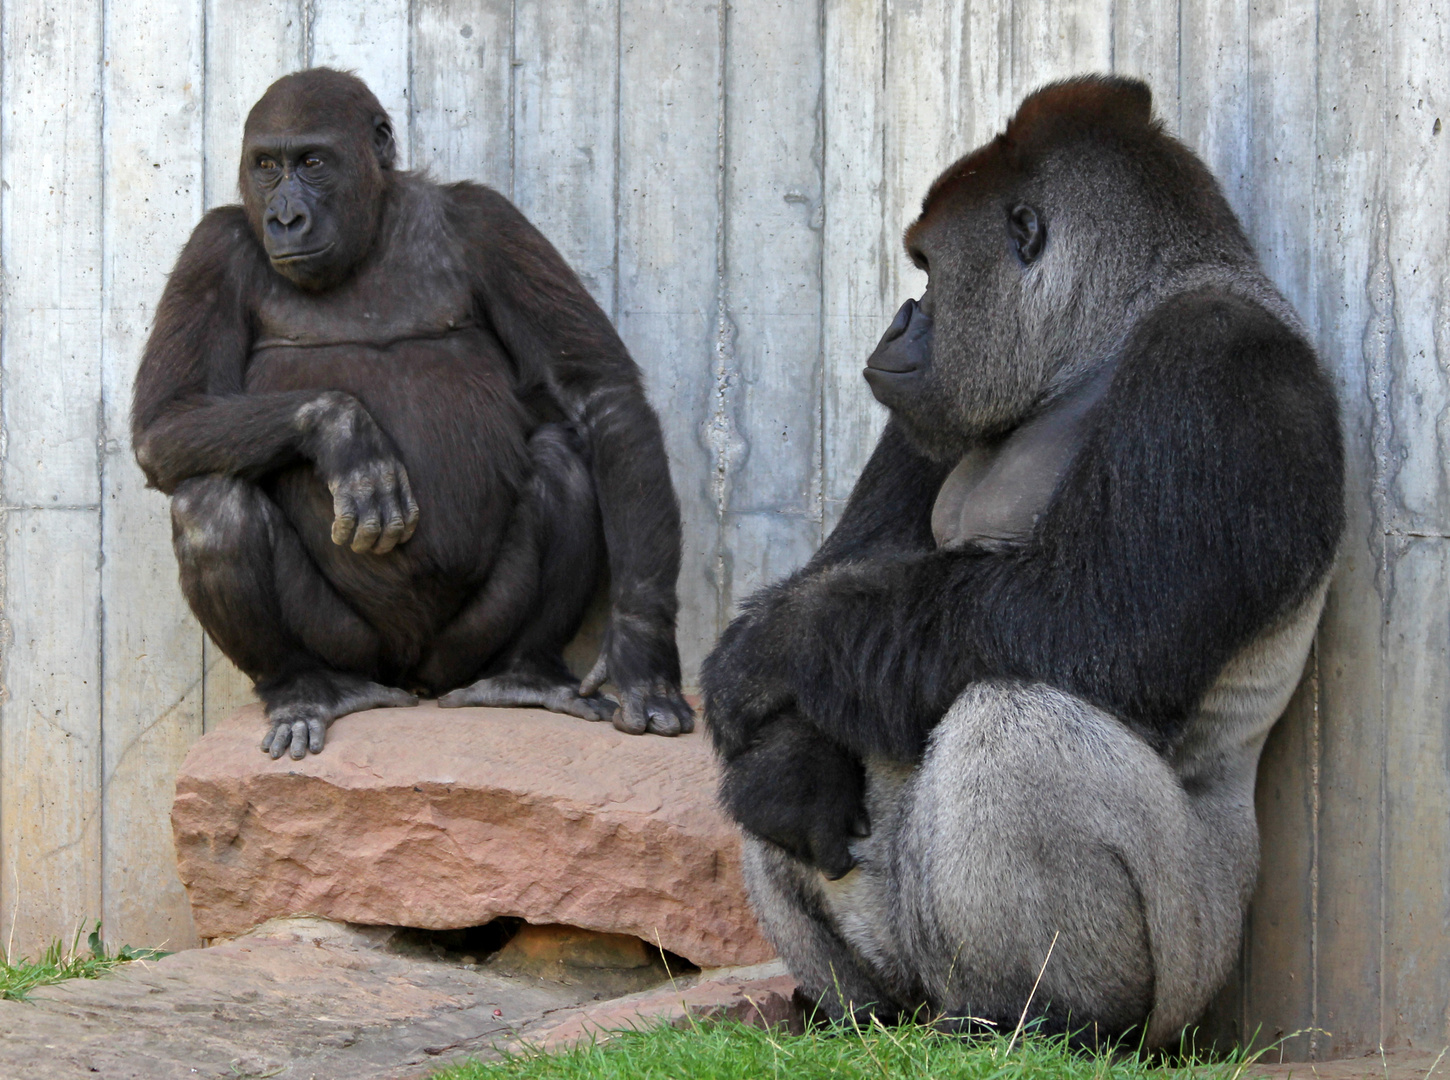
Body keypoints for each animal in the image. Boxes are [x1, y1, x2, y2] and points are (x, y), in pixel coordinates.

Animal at [130, 69, 690, 759]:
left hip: (463, 650)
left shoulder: (489, 221)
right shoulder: (213, 248)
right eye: (265, 166)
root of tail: (412, 677)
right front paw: (344, 432)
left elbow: (599, 390)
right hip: (356, 649)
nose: (285, 217)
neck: (371, 231)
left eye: (312, 162)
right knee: (209, 501)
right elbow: (163, 422)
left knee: (563, 461)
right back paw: (304, 687)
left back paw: (524, 673)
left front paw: (642, 651)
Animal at [701, 77, 1345, 1043]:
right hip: (903, 971)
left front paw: (771, 644)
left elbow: (1092, 622)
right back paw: (843, 1007)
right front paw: (781, 760)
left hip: (1199, 958)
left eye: (928, 269)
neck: (1108, 331)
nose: (898, 320)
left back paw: (1047, 1017)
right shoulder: (929, 413)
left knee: (1013, 727)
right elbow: (844, 577)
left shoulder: (1221, 364)